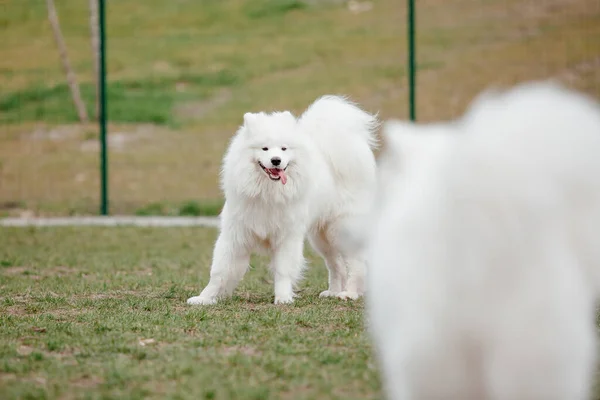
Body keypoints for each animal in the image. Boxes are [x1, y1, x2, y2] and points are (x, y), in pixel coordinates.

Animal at [186, 95, 376, 304]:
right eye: (265, 148)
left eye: (284, 149)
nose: (276, 160)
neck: (267, 192)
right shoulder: (235, 234)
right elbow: (219, 271)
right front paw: (204, 298)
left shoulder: (287, 237)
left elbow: (283, 270)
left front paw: (283, 298)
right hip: (321, 238)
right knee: (336, 265)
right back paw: (333, 292)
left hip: (340, 230)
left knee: (357, 264)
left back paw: (349, 293)